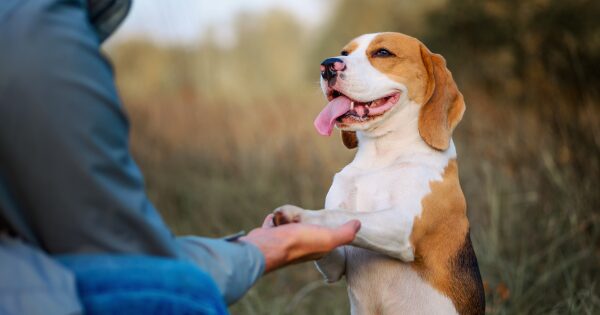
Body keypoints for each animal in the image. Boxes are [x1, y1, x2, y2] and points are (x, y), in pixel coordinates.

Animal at [274, 33, 486, 314]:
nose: (328, 65)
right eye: (345, 52)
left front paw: (300, 216)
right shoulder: (337, 265)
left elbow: (340, 214)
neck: (380, 156)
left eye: (383, 53)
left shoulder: (403, 226)